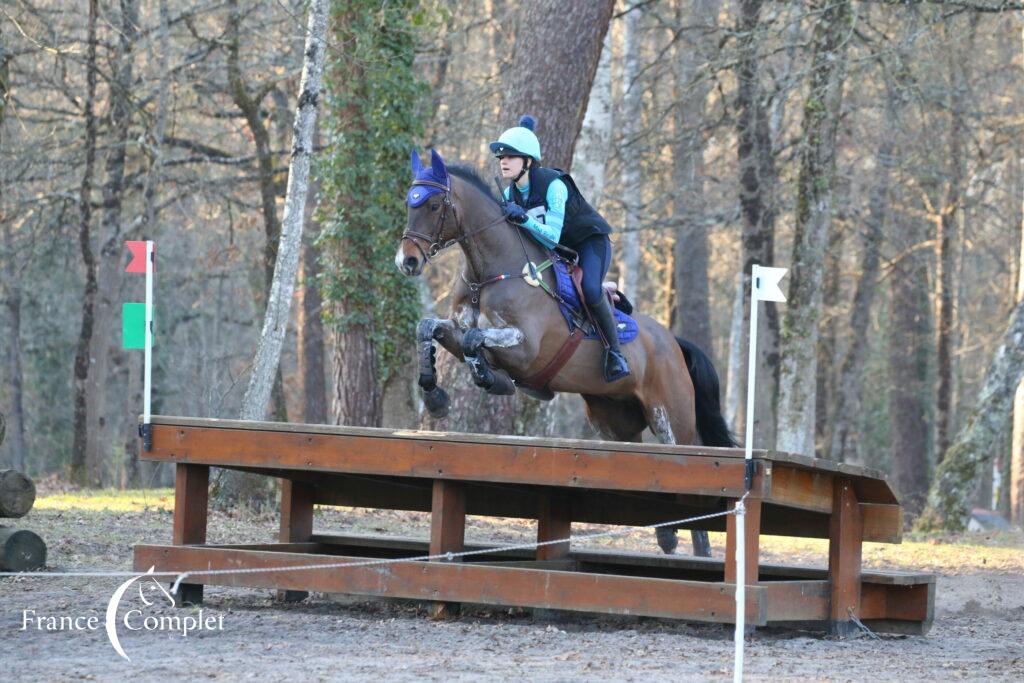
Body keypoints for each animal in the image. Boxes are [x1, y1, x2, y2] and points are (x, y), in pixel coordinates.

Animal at [391, 149, 737, 557]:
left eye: (432, 205)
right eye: (408, 202)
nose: (407, 261)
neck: (489, 272)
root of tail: (674, 343)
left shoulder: (525, 347)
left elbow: (477, 339)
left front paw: (492, 380)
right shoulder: (458, 332)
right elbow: (430, 328)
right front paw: (436, 396)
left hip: (670, 417)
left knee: (690, 466)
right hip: (613, 422)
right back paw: (667, 536)